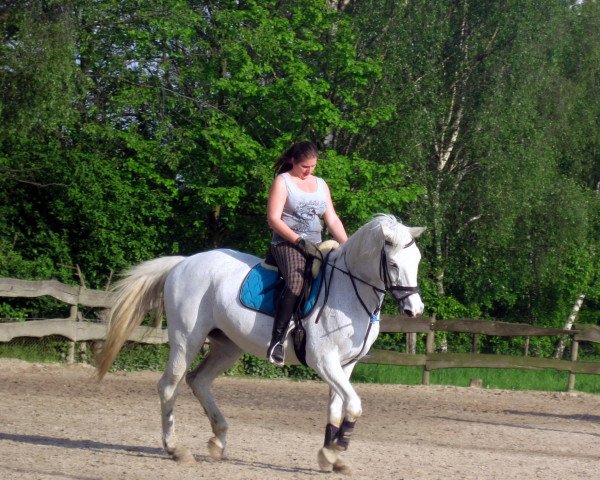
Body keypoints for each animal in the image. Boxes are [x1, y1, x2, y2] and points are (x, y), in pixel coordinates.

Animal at [96, 214, 424, 472]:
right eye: (393, 264)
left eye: (417, 261)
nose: (415, 310)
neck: (348, 292)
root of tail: (184, 263)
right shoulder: (324, 361)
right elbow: (353, 405)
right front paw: (336, 451)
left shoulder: (345, 365)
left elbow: (336, 408)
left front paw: (330, 456)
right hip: (186, 339)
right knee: (169, 385)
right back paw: (176, 449)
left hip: (228, 346)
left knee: (198, 380)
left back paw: (218, 440)